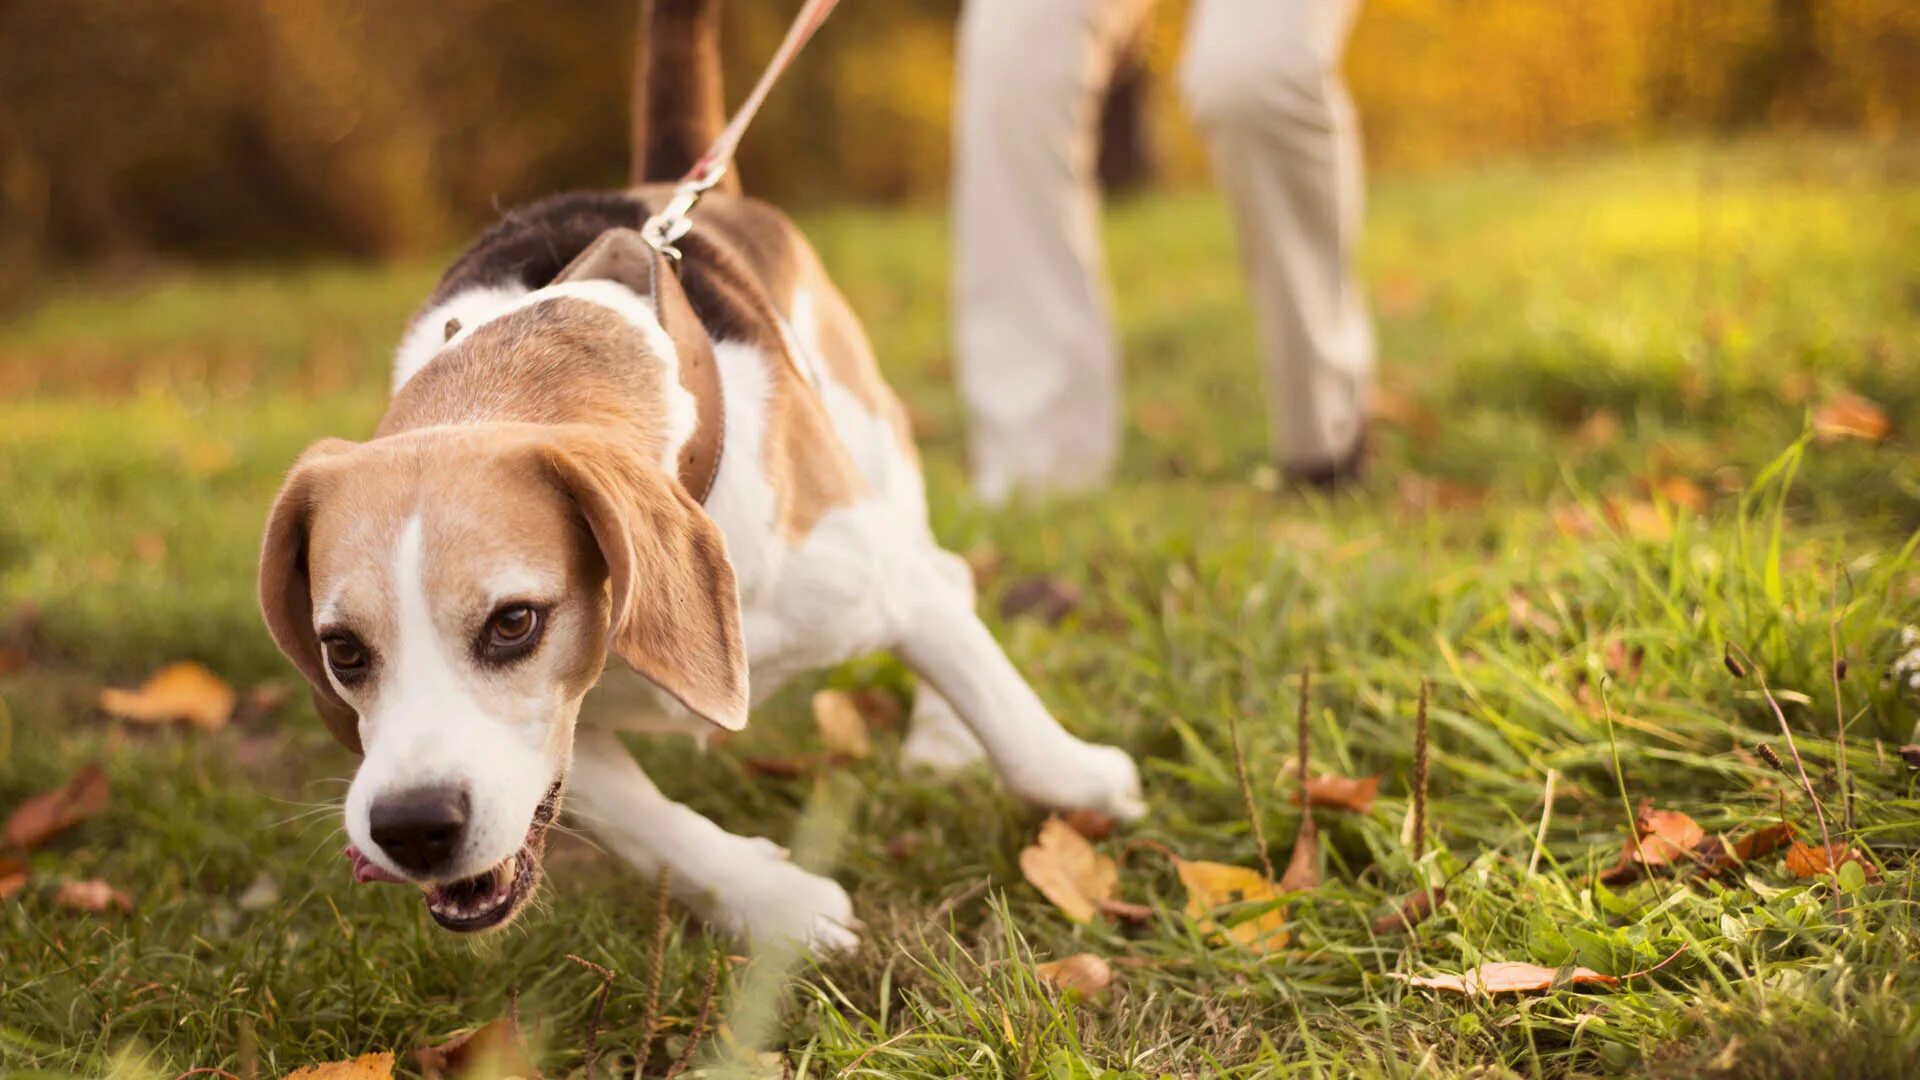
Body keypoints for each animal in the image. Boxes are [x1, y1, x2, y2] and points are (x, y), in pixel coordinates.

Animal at [263, 0, 1144, 949]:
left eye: (514, 624)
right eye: (342, 651)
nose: (412, 826)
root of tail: (678, 190)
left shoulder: (882, 584)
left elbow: (1008, 717)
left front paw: (1089, 782)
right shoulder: (565, 738)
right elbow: (653, 831)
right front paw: (776, 904)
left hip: (874, 459)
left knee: (947, 573)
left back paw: (945, 740)